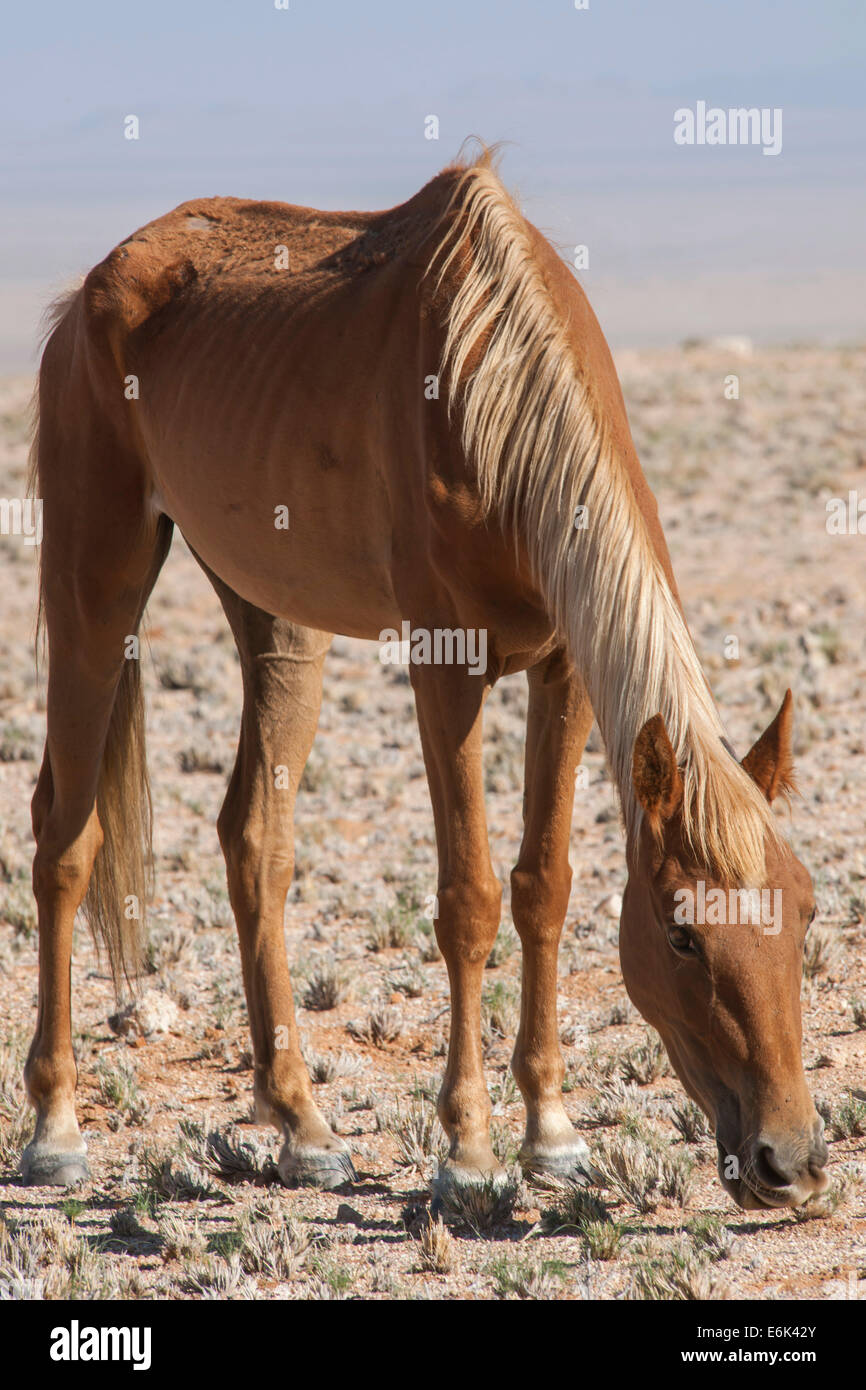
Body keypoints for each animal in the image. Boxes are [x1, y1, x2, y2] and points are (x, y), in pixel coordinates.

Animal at [22, 149, 828, 1210]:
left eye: (807, 908)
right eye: (682, 934)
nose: (792, 1160)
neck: (496, 392)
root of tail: (91, 291)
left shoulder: (564, 670)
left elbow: (543, 886)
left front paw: (552, 1134)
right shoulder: (446, 668)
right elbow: (469, 899)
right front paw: (469, 1151)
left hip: (278, 616)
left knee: (255, 841)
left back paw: (301, 1124)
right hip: (96, 582)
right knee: (66, 837)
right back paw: (56, 1127)